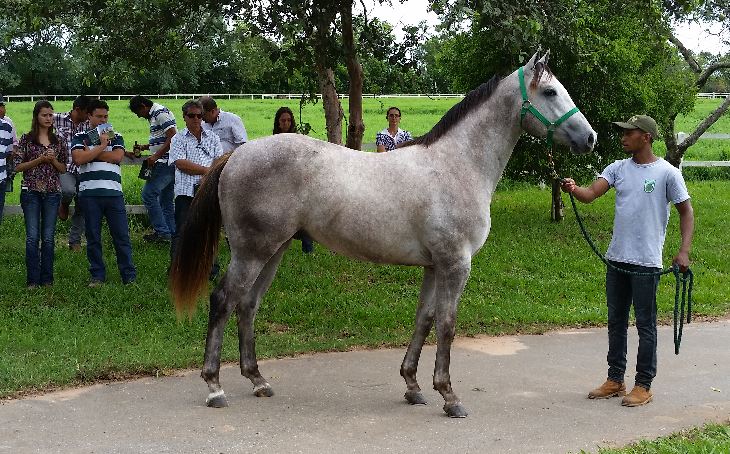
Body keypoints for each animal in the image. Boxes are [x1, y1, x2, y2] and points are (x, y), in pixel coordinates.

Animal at [171, 51, 596, 416]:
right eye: (550, 92)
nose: (590, 138)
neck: (457, 165)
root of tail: (236, 155)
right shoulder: (455, 264)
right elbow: (447, 324)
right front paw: (449, 396)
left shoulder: (434, 266)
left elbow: (424, 319)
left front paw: (413, 386)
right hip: (251, 252)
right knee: (223, 300)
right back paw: (215, 387)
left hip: (273, 251)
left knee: (248, 304)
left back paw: (257, 380)